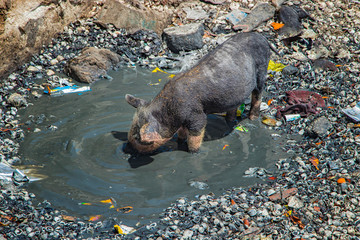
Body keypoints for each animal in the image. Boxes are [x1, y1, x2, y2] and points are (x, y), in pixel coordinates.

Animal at [126, 31, 270, 153]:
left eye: (137, 137)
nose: (127, 148)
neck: (169, 110)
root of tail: (261, 37)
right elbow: (182, 133)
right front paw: (180, 141)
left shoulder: (196, 114)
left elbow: (197, 132)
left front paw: (193, 152)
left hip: (262, 69)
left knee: (258, 94)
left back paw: (253, 118)